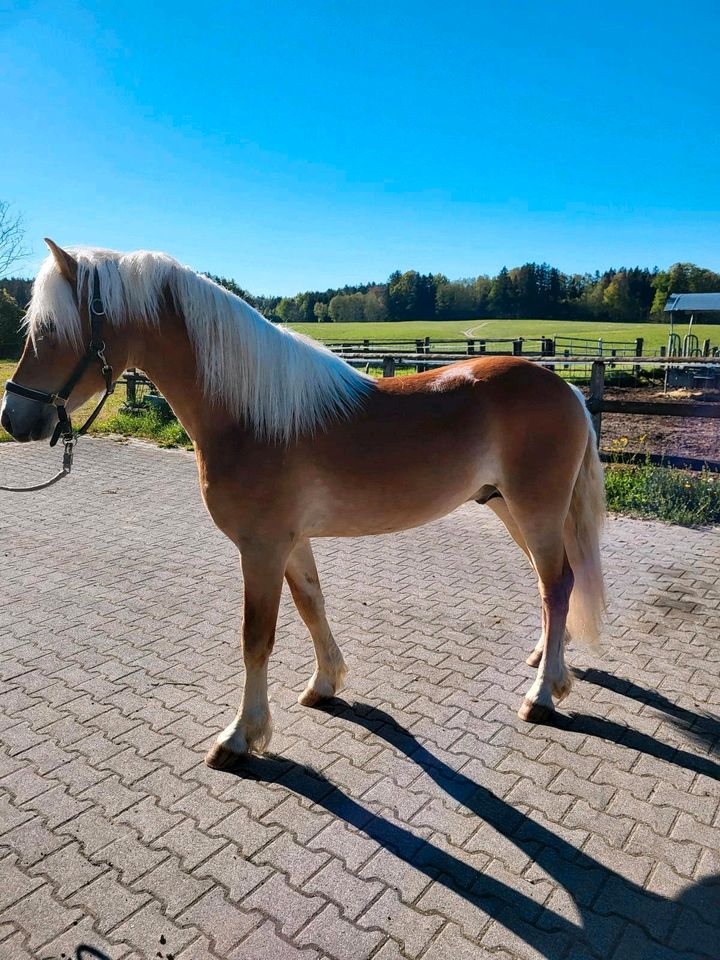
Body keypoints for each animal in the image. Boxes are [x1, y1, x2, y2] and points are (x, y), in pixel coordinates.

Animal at [0, 242, 604, 772]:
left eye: (50, 331)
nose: (13, 419)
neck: (249, 413)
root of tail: (568, 391)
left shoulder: (262, 548)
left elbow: (256, 638)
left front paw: (241, 736)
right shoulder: (291, 544)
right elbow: (312, 605)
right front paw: (325, 683)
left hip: (535, 510)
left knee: (556, 584)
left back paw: (542, 694)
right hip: (510, 509)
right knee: (553, 583)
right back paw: (544, 660)